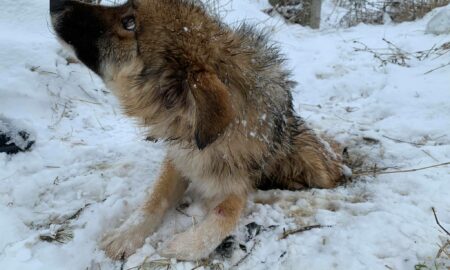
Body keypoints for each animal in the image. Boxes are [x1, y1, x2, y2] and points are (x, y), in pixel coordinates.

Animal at [49, 0, 344, 262]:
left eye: (129, 23)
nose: (56, 3)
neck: (191, 124)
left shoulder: (235, 180)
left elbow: (226, 213)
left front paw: (182, 246)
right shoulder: (179, 158)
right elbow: (154, 199)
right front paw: (127, 233)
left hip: (313, 162)